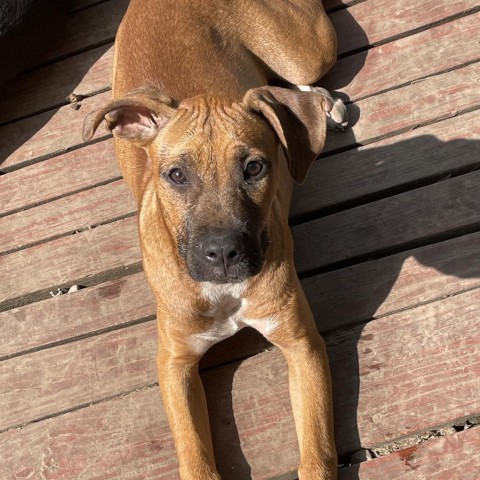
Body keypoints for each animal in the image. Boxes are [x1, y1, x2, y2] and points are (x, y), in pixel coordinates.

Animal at [83, 0, 344, 480]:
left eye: (255, 168)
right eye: (176, 175)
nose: (223, 253)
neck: (223, 293)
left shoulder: (302, 345)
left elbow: (317, 453)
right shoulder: (175, 364)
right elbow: (195, 455)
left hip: (308, 50)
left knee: (293, 85)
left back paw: (323, 103)